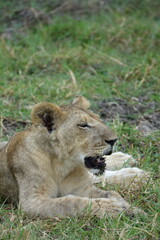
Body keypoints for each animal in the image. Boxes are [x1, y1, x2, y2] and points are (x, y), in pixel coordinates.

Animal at [0, 96, 143, 218]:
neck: (61, 164)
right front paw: (111, 207)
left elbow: (111, 193)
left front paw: (128, 207)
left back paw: (129, 168)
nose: (114, 140)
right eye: (83, 125)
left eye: (99, 119)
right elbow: (71, 202)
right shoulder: (31, 202)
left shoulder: (82, 188)